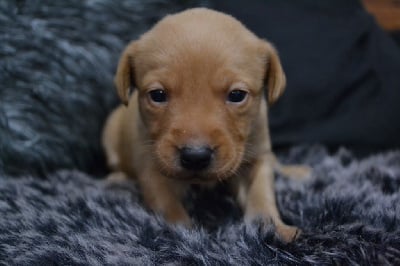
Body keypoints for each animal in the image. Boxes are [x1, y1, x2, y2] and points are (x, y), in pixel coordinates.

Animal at [102, 6, 310, 243]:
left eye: (237, 95)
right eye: (157, 95)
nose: (195, 156)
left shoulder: (257, 157)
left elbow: (261, 195)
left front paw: (273, 227)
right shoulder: (151, 166)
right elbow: (167, 205)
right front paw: (185, 232)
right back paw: (117, 178)